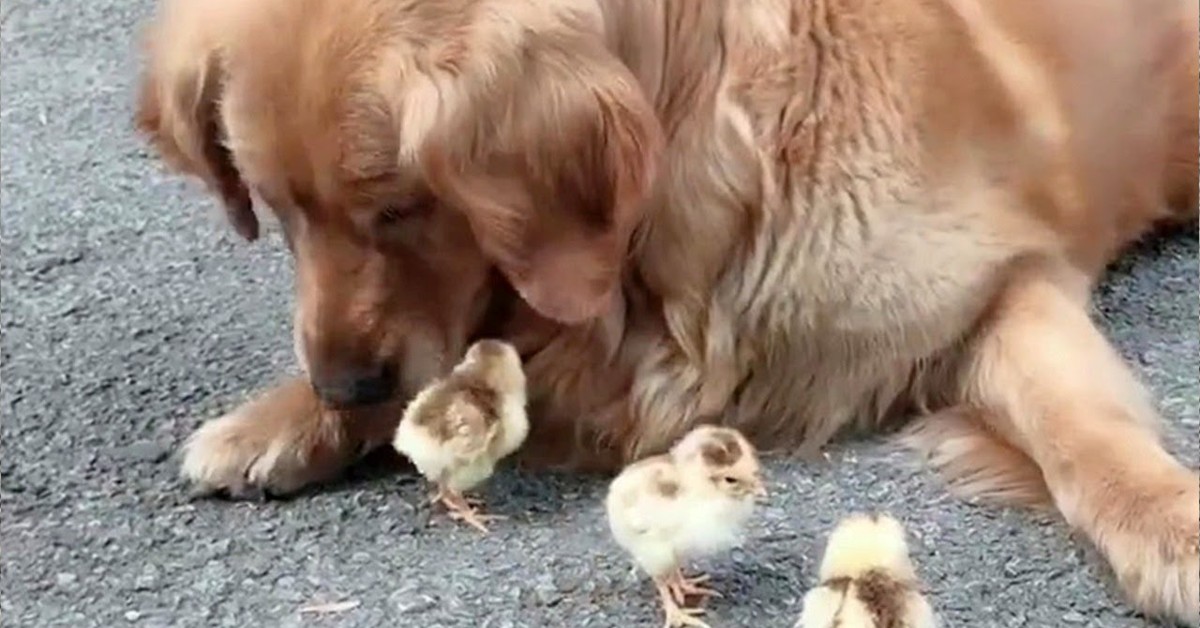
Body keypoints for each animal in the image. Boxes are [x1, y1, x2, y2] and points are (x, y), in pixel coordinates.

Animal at [133, 0, 1200, 619]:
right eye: (276, 209)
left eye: (398, 207)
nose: (343, 385)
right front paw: (277, 422)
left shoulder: (997, 279)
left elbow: (1080, 427)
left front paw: (1169, 524)